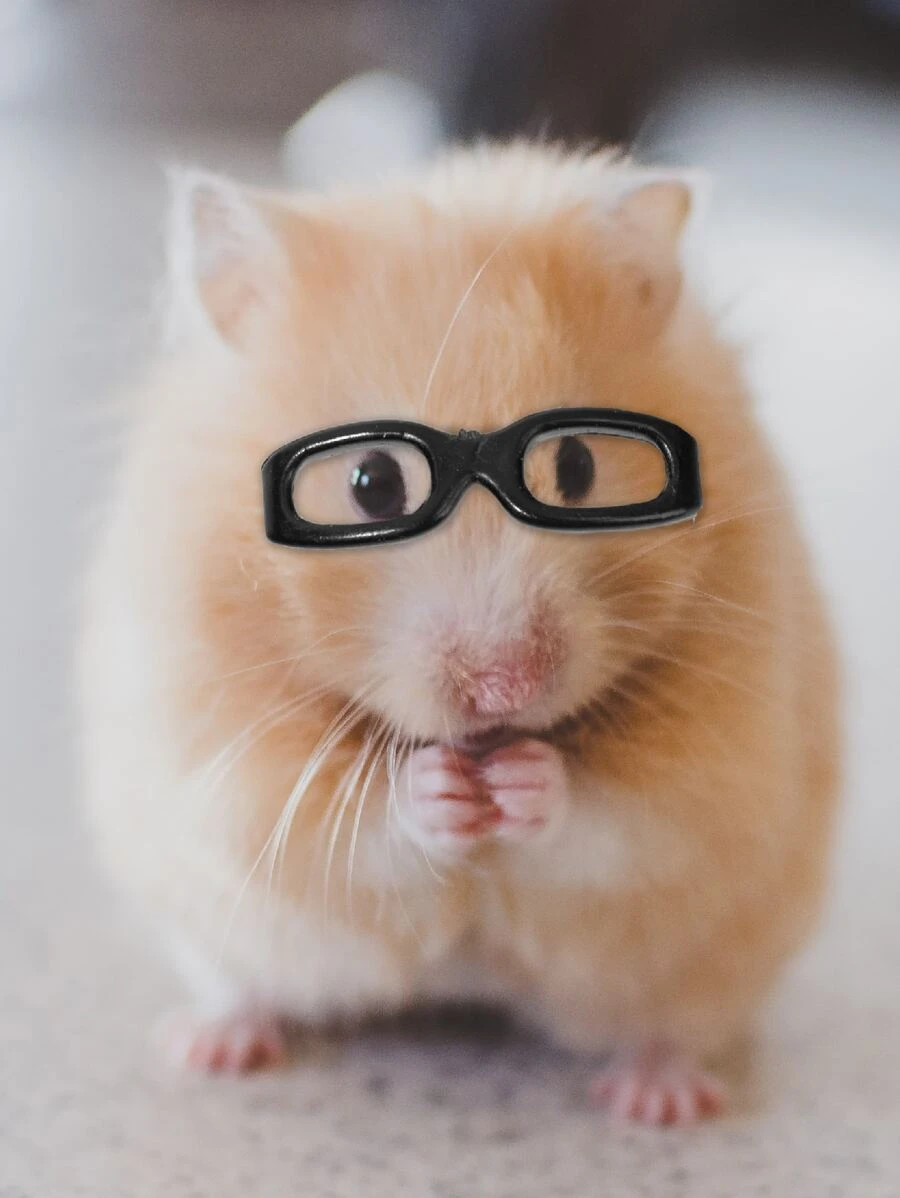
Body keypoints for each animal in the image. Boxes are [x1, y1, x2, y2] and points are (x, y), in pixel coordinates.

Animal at [78, 143, 839, 1123]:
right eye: (370, 482)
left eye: (578, 465)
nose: (504, 689)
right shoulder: (222, 756)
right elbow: (349, 822)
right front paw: (442, 789)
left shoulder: (724, 761)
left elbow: (621, 817)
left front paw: (521, 782)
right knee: (244, 985)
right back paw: (208, 1047)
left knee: (672, 1026)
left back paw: (658, 1101)